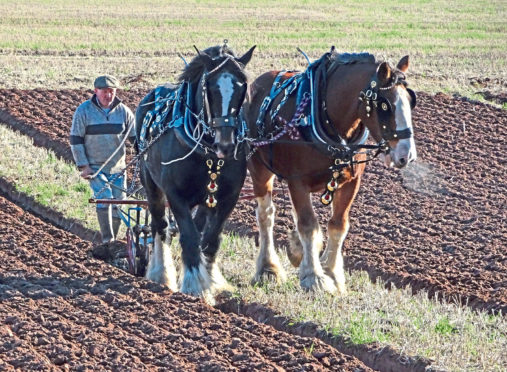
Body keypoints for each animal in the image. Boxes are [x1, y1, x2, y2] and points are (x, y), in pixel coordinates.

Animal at [136, 44, 256, 302]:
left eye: (242, 85)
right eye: (209, 87)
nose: (226, 144)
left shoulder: (228, 197)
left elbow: (210, 239)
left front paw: (211, 281)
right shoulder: (175, 195)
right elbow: (189, 238)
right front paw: (195, 287)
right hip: (151, 184)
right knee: (160, 226)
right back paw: (161, 275)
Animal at [245, 48, 416, 294]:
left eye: (411, 101)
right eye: (385, 105)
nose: (407, 155)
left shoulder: (351, 182)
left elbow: (338, 225)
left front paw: (332, 272)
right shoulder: (297, 182)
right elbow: (308, 225)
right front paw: (314, 277)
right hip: (259, 169)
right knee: (266, 214)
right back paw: (268, 268)